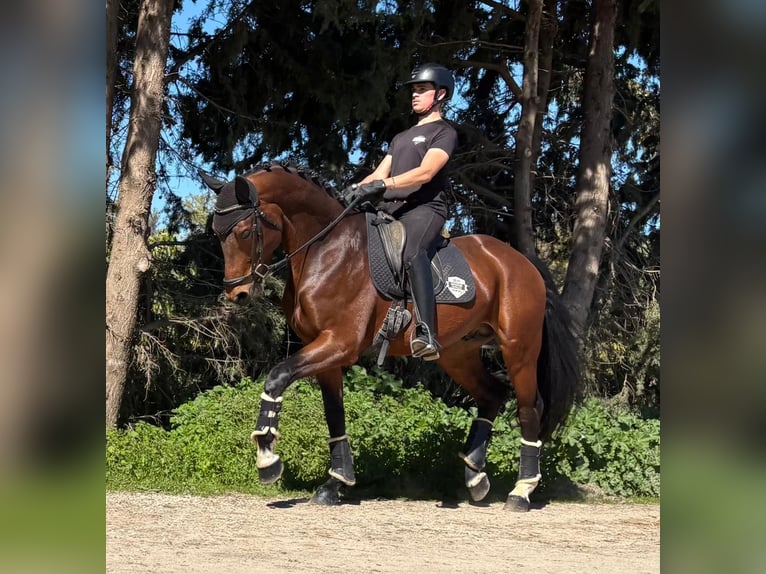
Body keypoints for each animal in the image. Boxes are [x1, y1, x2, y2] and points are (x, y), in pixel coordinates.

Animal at [202, 163, 580, 511]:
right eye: (217, 233)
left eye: (244, 231)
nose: (237, 294)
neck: (327, 249)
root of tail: (520, 261)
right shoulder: (325, 350)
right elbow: (334, 414)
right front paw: (335, 484)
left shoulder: (340, 344)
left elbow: (277, 377)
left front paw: (267, 458)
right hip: (457, 353)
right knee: (492, 394)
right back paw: (475, 476)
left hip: (519, 349)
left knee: (529, 407)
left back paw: (521, 491)